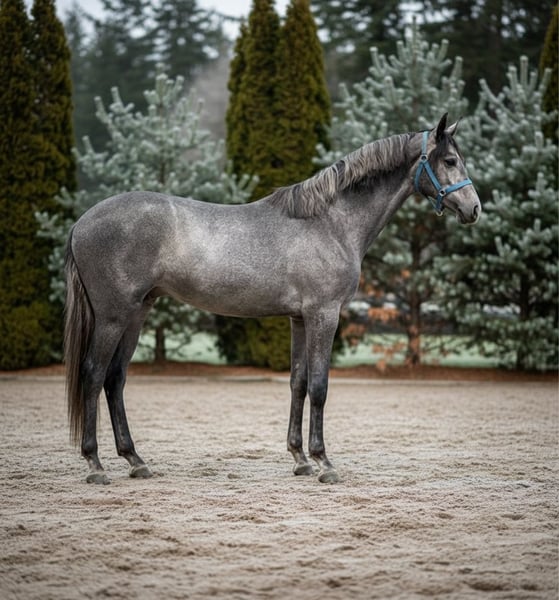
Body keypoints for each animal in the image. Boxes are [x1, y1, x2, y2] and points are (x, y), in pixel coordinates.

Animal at [64, 113, 481, 485]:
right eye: (449, 160)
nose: (474, 209)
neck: (330, 223)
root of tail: (81, 222)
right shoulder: (324, 315)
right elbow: (319, 386)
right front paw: (324, 462)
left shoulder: (299, 318)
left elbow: (298, 382)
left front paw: (300, 459)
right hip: (114, 316)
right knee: (94, 373)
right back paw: (95, 464)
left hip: (137, 312)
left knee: (115, 378)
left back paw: (135, 460)